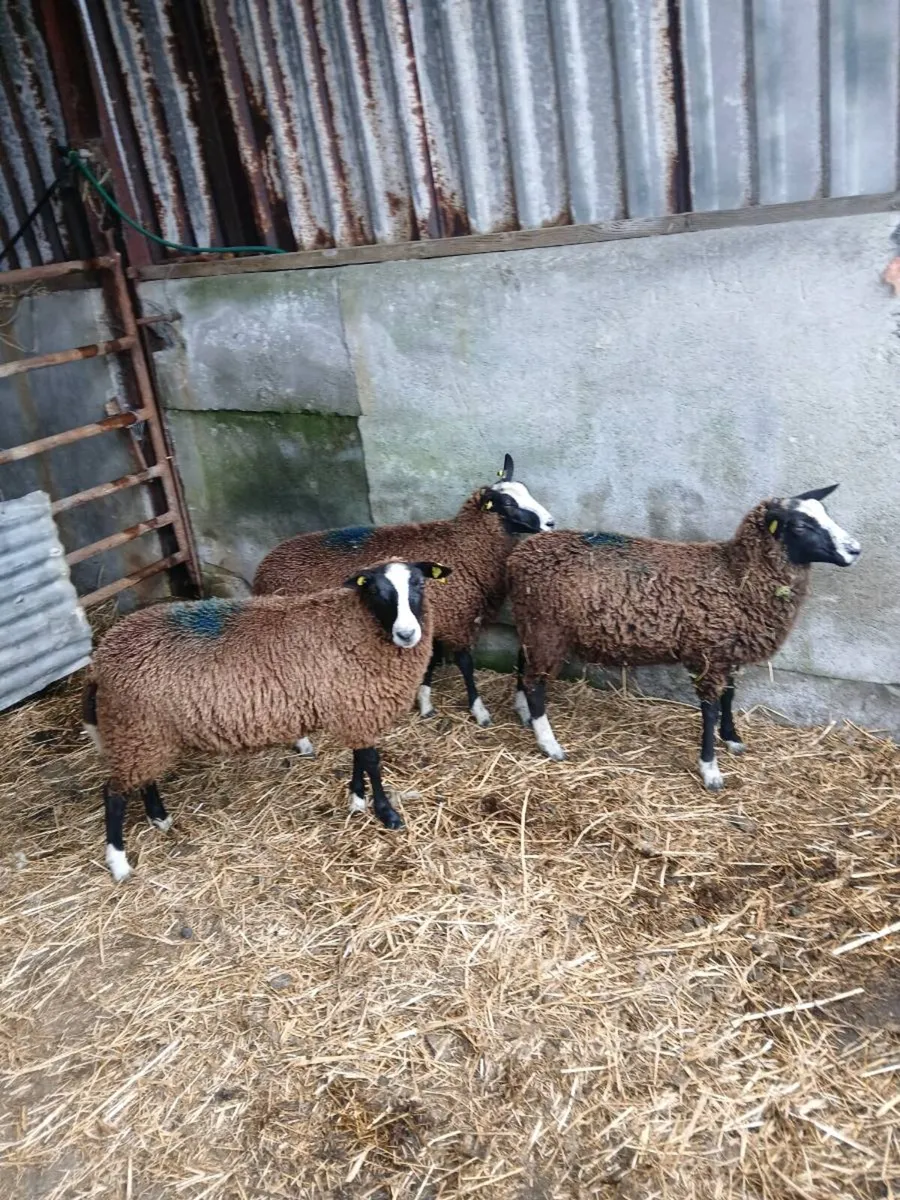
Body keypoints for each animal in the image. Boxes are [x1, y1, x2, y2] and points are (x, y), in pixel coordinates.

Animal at [83, 559, 451, 881]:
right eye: (376, 590)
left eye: (419, 584)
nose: (407, 634)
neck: (356, 624)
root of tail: (101, 659)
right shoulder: (358, 708)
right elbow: (372, 761)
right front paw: (386, 813)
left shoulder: (353, 709)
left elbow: (360, 758)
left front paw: (357, 800)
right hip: (135, 726)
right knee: (113, 794)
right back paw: (119, 863)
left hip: (145, 732)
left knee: (144, 779)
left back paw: (160, 819)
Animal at [253, 454, 554, 751]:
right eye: (508, 503)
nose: (550, 523)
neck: (464, 546)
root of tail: (262, 572)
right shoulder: (457, 618)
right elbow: (466, 665)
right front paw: (479, 712)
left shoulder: (430, 618)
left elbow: (430, 661)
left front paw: (425, 703)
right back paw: (303, 743)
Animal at [507, 485, 861, 790]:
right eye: (800, 525)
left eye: (825, 513)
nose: (855, 550)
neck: (737, 575)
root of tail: (519, 556)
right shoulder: (708, 655)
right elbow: (710, 710)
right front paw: (710, 770)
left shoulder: (727, 653)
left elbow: (729, 696)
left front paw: (732, 738)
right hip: (548, 628)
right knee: (536, 683)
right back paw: (549, 743)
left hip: (532, 623)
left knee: (523, 665)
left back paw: (524, 713)